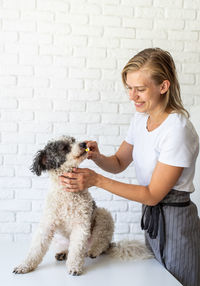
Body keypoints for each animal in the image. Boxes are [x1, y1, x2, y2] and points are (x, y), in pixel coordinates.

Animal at [13, 137, 152, 278]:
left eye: (73, 139)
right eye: (64, 147)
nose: (84, 144)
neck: (67, 194)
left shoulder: (81, 225)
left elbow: (76, 250)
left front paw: (74, 267)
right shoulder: (47, 224)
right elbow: (36, 247)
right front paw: (24, 266)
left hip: (103, 215)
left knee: (98, 242)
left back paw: (94, 250)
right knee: (72, 247)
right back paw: (63, 253)